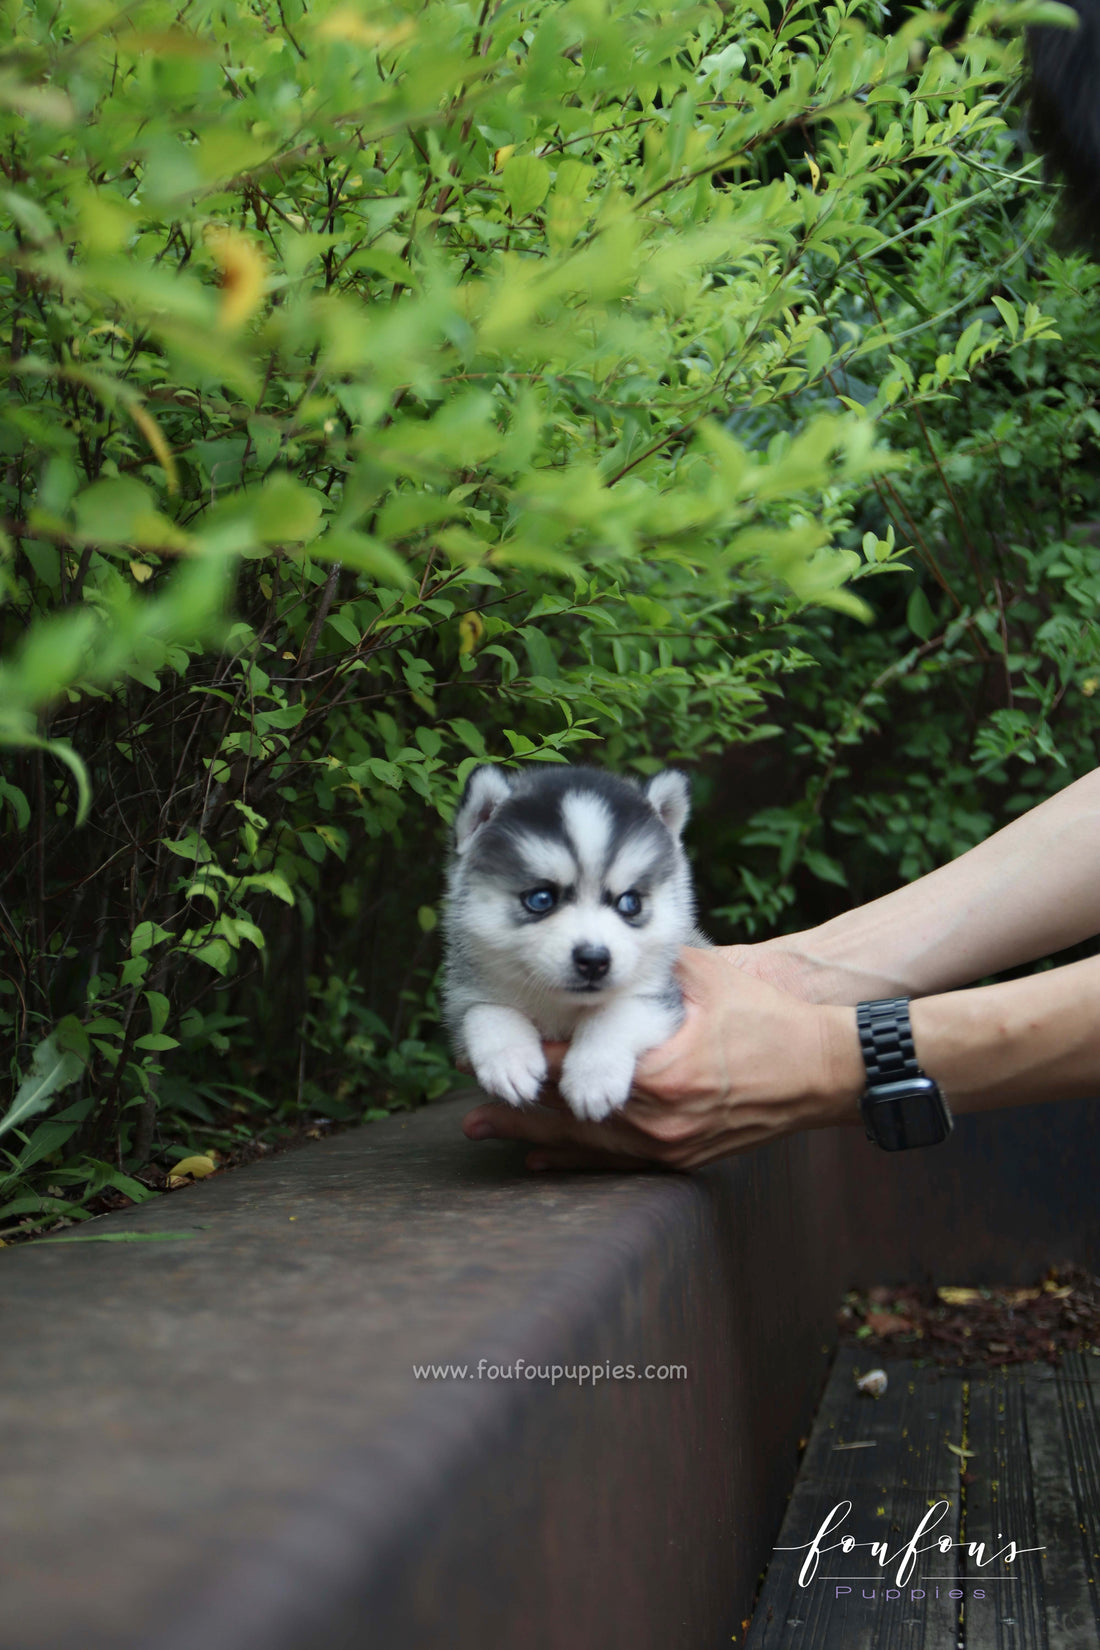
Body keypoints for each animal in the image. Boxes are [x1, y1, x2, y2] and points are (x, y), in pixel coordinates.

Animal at [441, 759, 709, 1122]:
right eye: (540, 899)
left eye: (630, 903)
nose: (594, 960)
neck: (561, 1007)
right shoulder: (463, 995)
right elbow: (483, 1011)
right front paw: (508, 1060)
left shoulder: (661, 994)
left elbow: (617, 1012)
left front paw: (593, 1075)